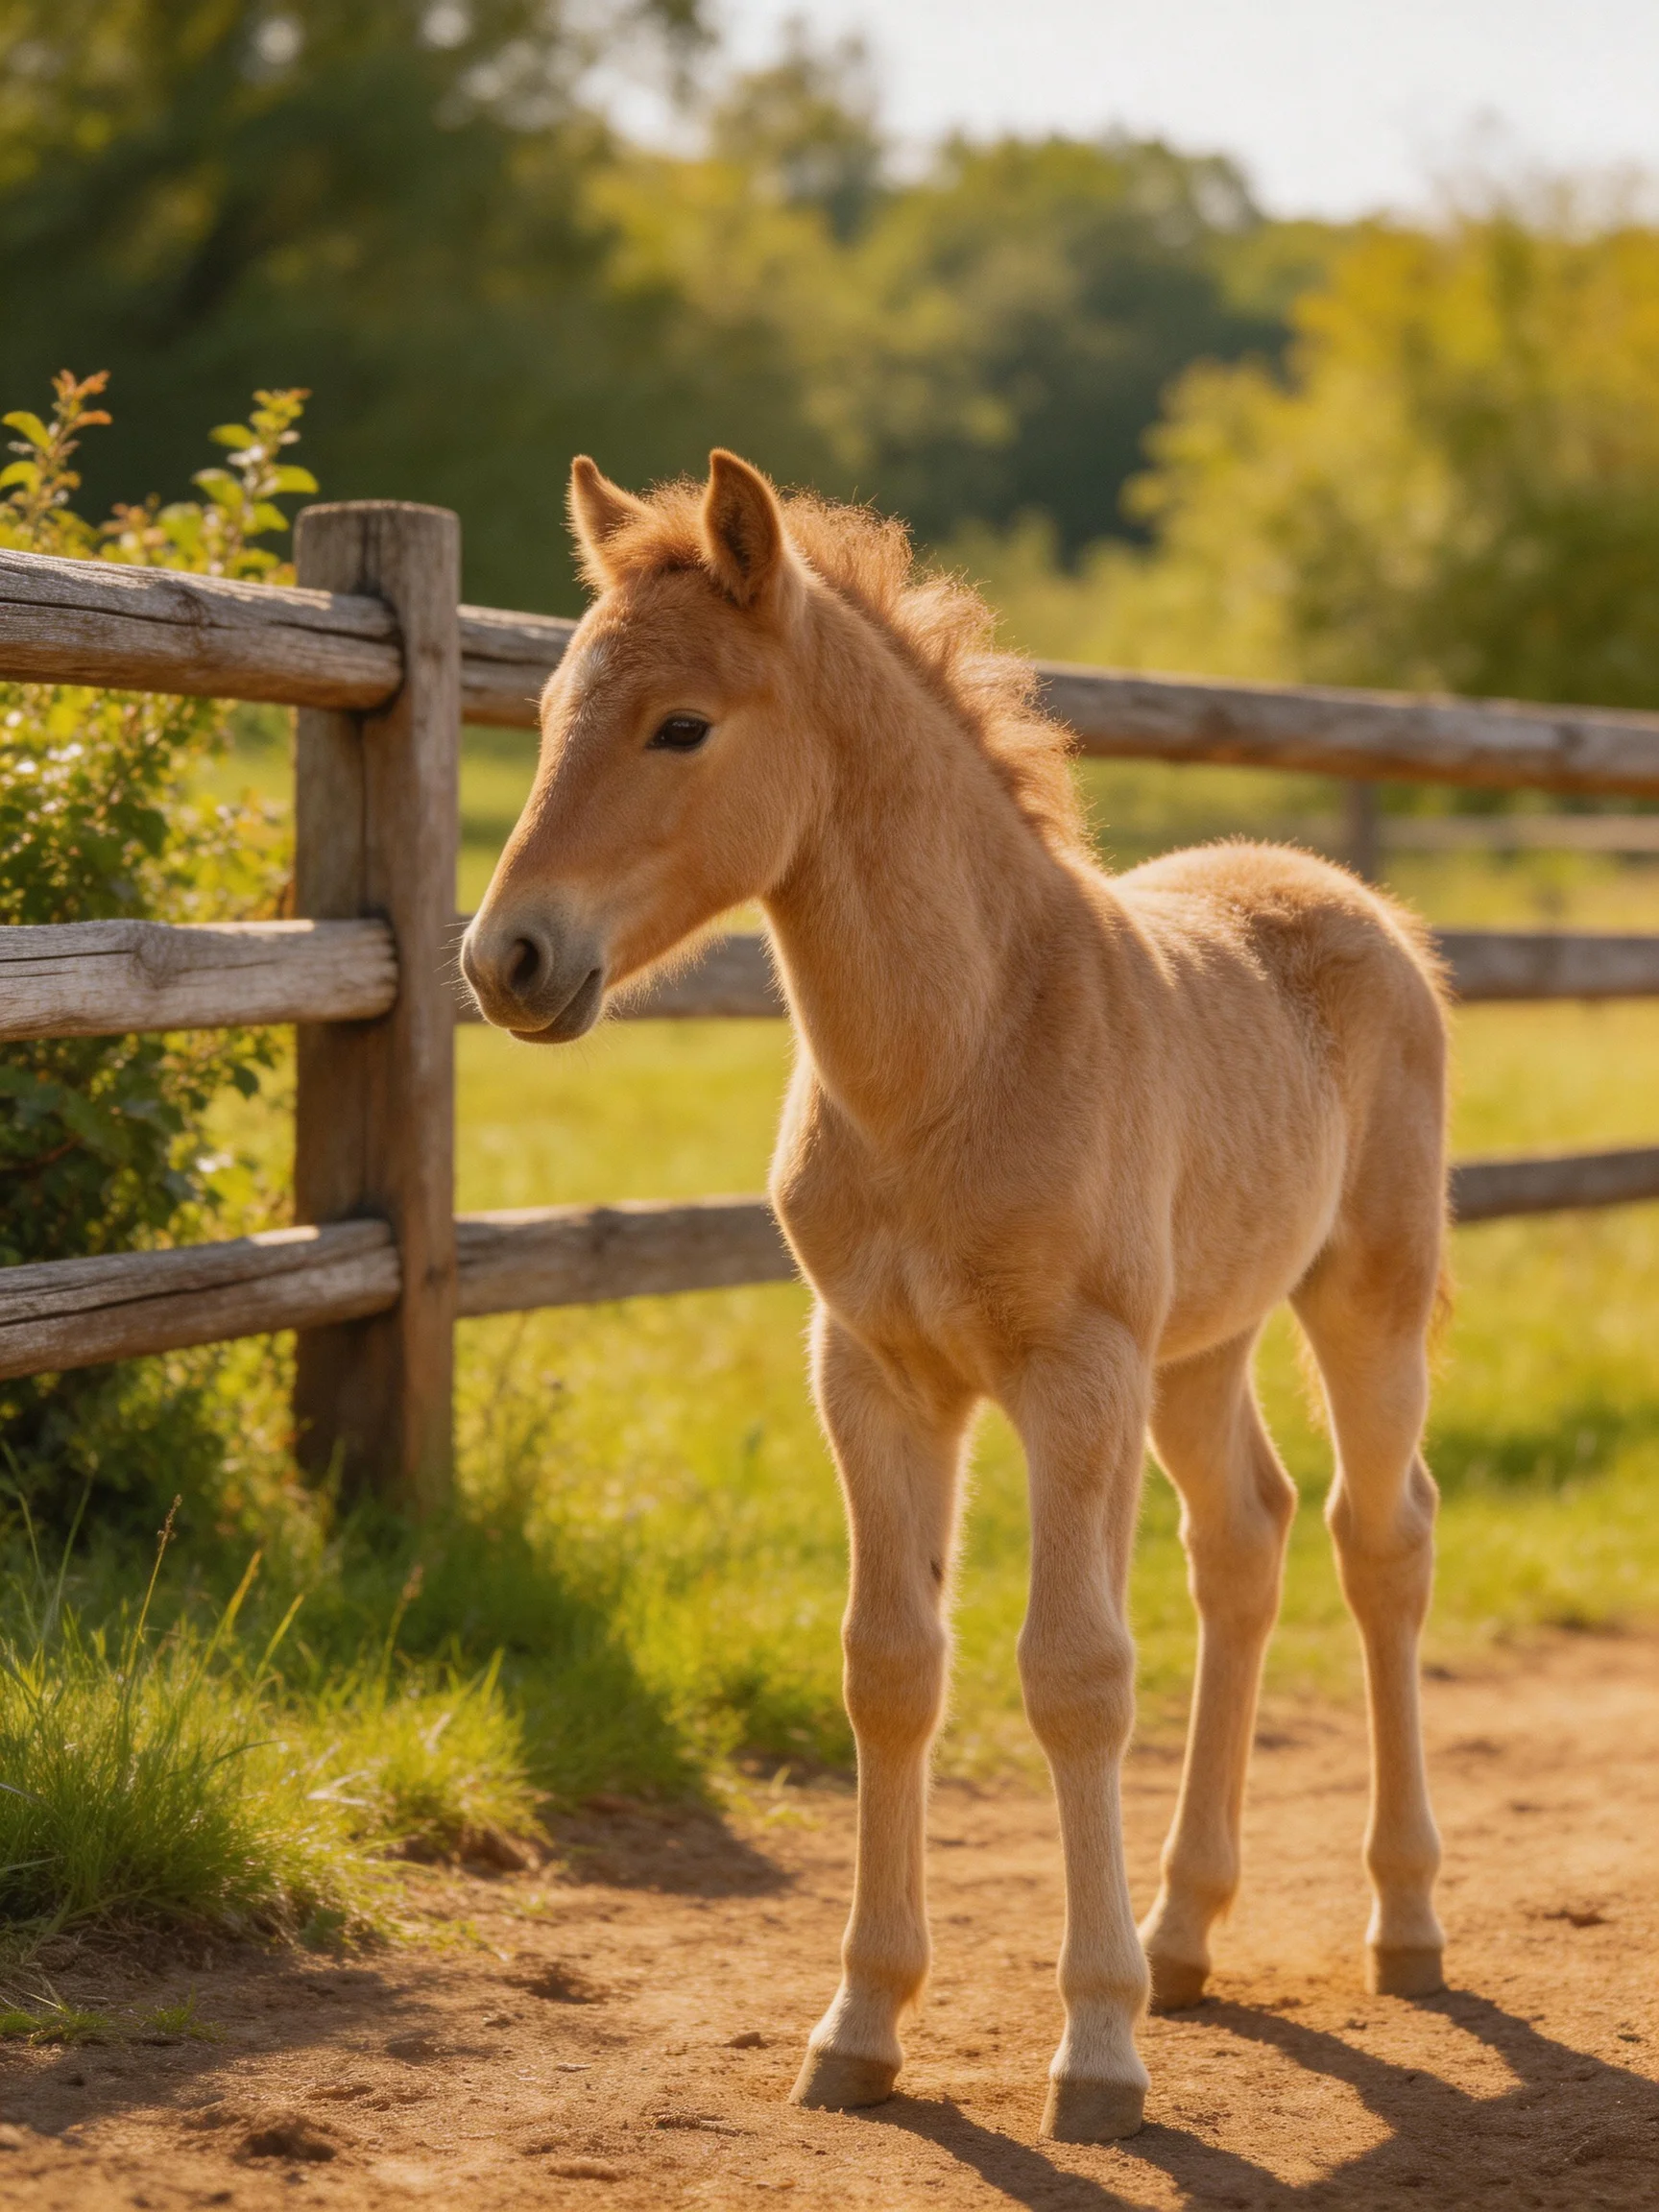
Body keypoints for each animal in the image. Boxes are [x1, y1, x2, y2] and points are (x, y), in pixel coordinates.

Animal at [461, 449, 1449, 2142]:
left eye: (681, 726)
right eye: (547, 715)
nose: (505, 959)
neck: (958, 1055)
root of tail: (1348, 899)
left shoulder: (1071, 1373)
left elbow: (1075, 1673)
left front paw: (1099, 2051)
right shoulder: (873, 1374)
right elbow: (890, 1669)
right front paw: (860, 2026)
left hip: (1361, 1298)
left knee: (1377, 1540)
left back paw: (1402, 1920)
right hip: (1199, 1348)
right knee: (1242, 1542)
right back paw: (1188, 1935)